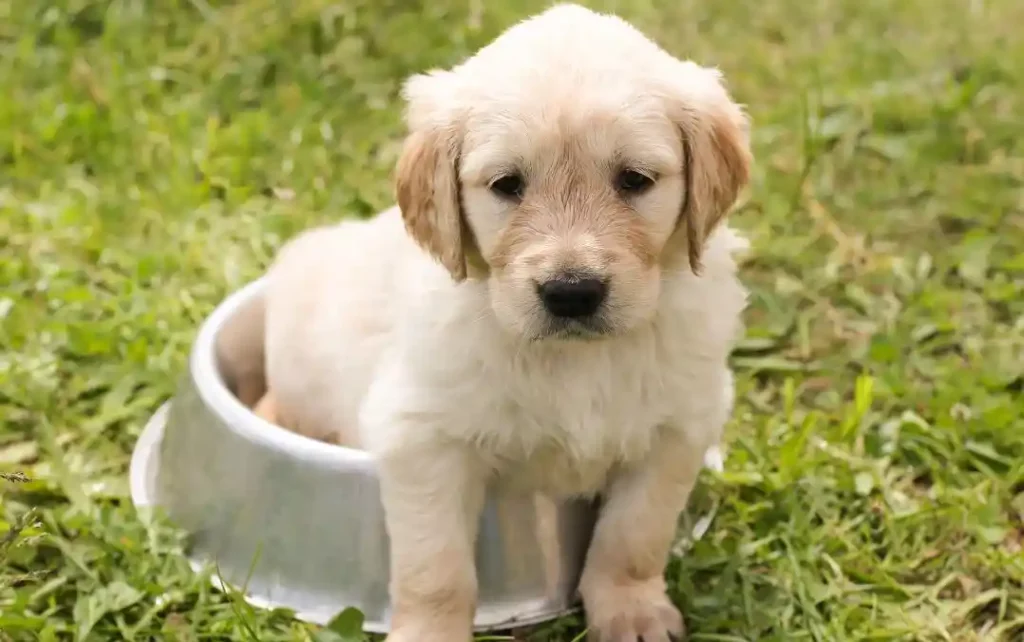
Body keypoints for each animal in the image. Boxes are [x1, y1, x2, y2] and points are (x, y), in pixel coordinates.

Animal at [256, 5, 753, 642]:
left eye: (635, 179)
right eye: (507, 185)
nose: (572, 293)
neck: (577, 358)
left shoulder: (677, 429)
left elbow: (633, 536)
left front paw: (632, 611)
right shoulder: (422, 438)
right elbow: (437, 568)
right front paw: (429, 633)